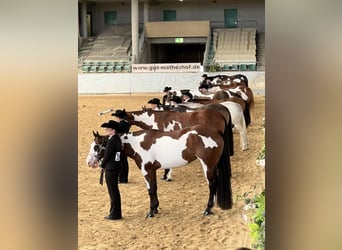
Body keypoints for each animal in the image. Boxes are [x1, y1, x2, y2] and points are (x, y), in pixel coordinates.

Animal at [89, 126, 234, 218]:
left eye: (96, 146)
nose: (89, 162)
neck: (138, 143)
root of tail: (216, 131)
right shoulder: (152, 170)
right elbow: (155, 188)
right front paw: (156, 208)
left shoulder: (146, 170)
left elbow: (150, 190)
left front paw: (151, 212)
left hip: (208, 165)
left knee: (212, 184)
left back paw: (207, 210)